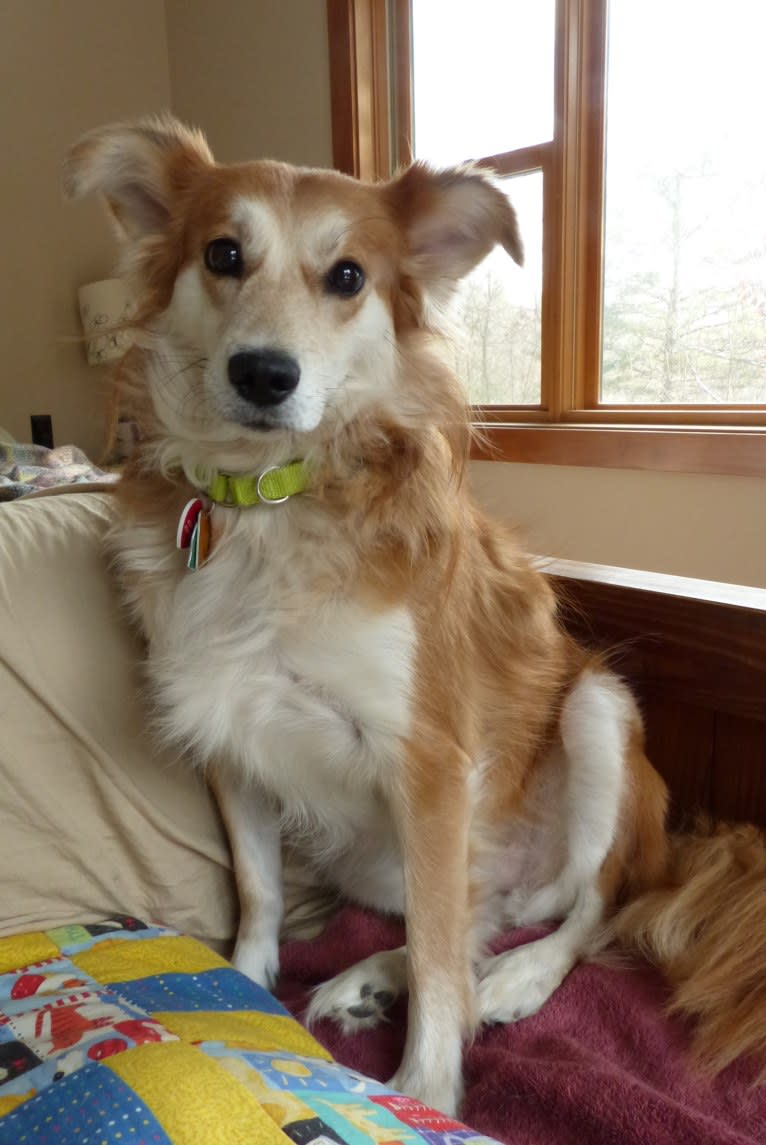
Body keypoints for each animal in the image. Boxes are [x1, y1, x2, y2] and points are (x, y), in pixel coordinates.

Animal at [65, 118, 764, 1117]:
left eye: (348, 276)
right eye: (222, 254)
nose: (264, 374)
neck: (267, 501)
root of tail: (676, 846)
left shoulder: (429, 761)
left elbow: (442, 960)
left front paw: (424, 1088)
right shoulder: (231, 734)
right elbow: (261, 890)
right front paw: (247, 982)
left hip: (598, 713)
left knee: (584, 911)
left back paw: (517, 979)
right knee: (481, 916)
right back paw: (372, 976)